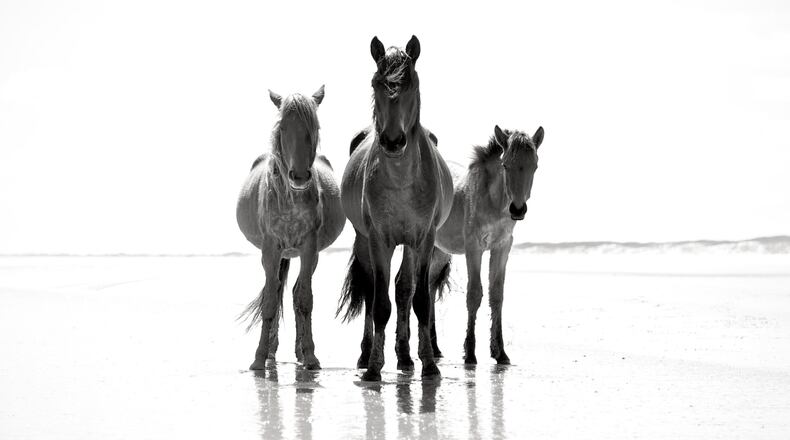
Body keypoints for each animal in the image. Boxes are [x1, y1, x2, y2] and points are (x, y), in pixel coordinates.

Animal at [236, 86, 345, 372]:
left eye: (314, 126)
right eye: (283, 127)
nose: (299, 176)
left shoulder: (309, 248)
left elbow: (304, 299)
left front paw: (311, 357)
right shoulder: (271, 249)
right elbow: (270, 301)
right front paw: (259, 358)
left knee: (295, 293)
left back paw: (299, 352)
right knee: (275, 292)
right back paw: (271, 352)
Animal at [337, 35, 454, 381]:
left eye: (411, 82)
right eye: (376, 83)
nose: (392, 141)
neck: (402, 179)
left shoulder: (423, 239)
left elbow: (418, 299)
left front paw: (428, 364)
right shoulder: (379, 239)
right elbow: (379, 304)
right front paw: (374, 367)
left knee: (404, 289)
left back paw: (404, 356)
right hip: (363, 240)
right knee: (370, 288)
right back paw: (366, 354)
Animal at [429, 125, 544, 365]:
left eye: (535, 166)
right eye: (505, 164)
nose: (517, 209)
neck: (493, 201)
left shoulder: (502, 248)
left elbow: (496, 295)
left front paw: (500, 352)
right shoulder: (474, 248)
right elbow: (474, 294)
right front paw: (470, 352)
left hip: (441, 252)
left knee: (429, 287)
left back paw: (434, 348)